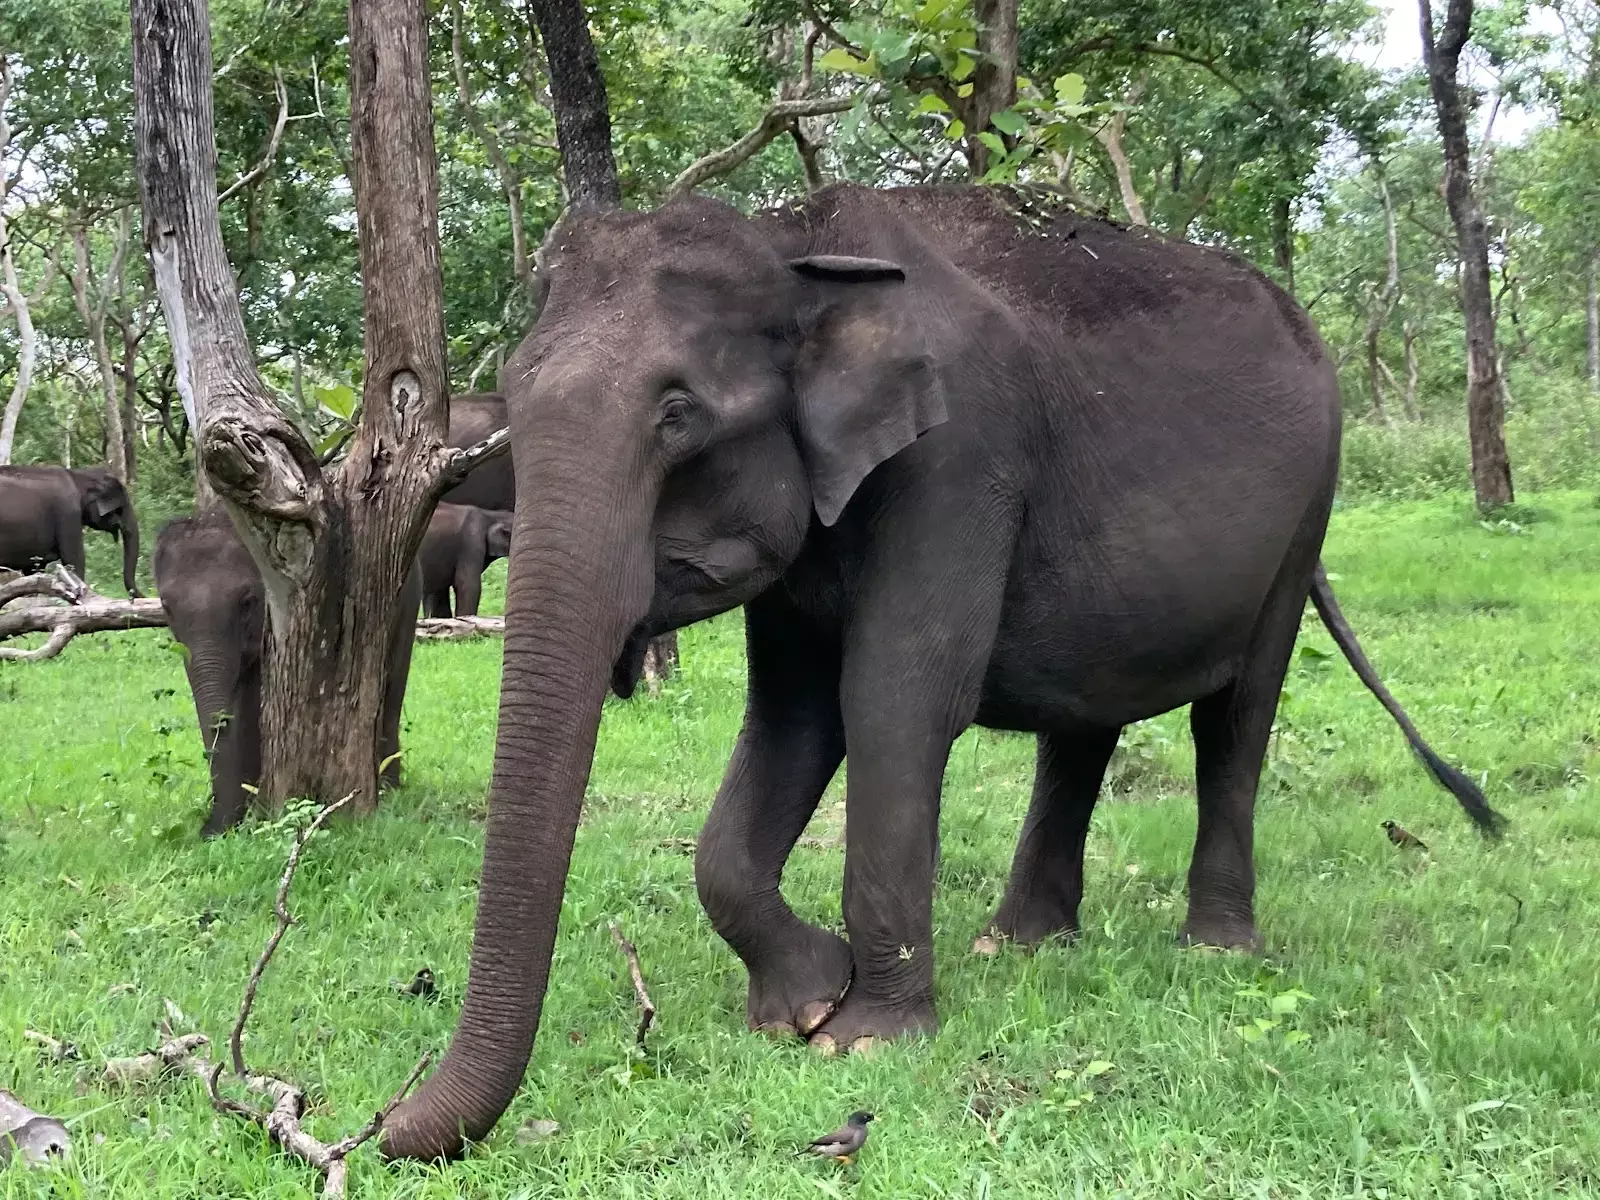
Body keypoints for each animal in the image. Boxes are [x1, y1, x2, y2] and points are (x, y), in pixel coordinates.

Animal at [382, 184, 1500, 1160]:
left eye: (677, 416)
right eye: (514, 406)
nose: (380, 1132)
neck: (794, 248)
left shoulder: (960, 458)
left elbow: (896, 701)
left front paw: (863, 1036)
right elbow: (792, 720)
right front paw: (801, 1003)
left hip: (1307, 508)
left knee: (1237, 714)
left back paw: (1214, 950)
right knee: (1083, 723)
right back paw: (1019, 945)